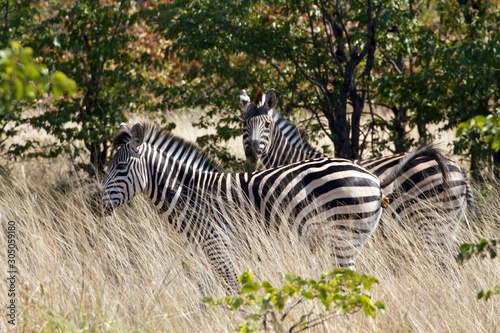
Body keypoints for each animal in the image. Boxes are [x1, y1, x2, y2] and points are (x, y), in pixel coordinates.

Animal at [101, 122, 422, 290]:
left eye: (120, 166)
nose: (98, 203)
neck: (187, 192)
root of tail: (372, 177)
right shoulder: (203, 249)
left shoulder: (217, 243)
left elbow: (232, 287)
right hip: (349, 240)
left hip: (343, 235)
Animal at [240, 88, 474, 254]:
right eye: (244, 125)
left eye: (267, 125)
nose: (253, 153)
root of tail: (457, 168)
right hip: (447, 222)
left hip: (432, 220)